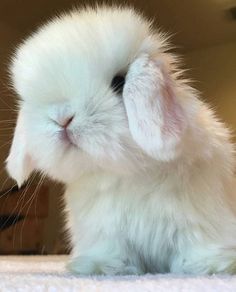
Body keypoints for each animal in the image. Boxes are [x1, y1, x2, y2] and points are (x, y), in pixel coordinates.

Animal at [5, 6, 236, 276]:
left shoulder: (202, 220)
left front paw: (212, 267)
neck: (127, 172)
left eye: (119, 83)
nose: (62, 119)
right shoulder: (106, 233)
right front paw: (99, 267)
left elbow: (200, 245)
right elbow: (113, 252)